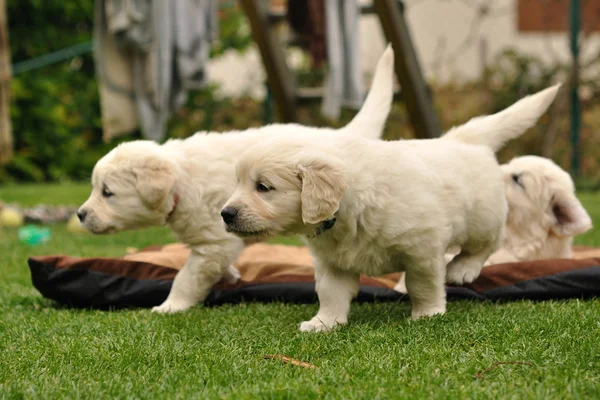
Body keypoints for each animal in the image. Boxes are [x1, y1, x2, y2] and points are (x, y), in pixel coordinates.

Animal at [77, 47, 396, 314]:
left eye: (107, 193)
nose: (80, 214)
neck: (182, 181)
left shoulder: (214, 242)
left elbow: (187, 276)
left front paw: (170, 306)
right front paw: (229, 276)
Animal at [223, 84, 560, 332]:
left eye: (263, 187)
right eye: (237, 182)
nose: (225, 214)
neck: (346, 210)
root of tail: (465, 140)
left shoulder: (423, 249)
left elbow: (423, 284)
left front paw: (427, 313)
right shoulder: (332, 261)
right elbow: (330, 292)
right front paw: (324, 322)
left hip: (483, 217)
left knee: (487, 244)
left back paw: (462, 269)